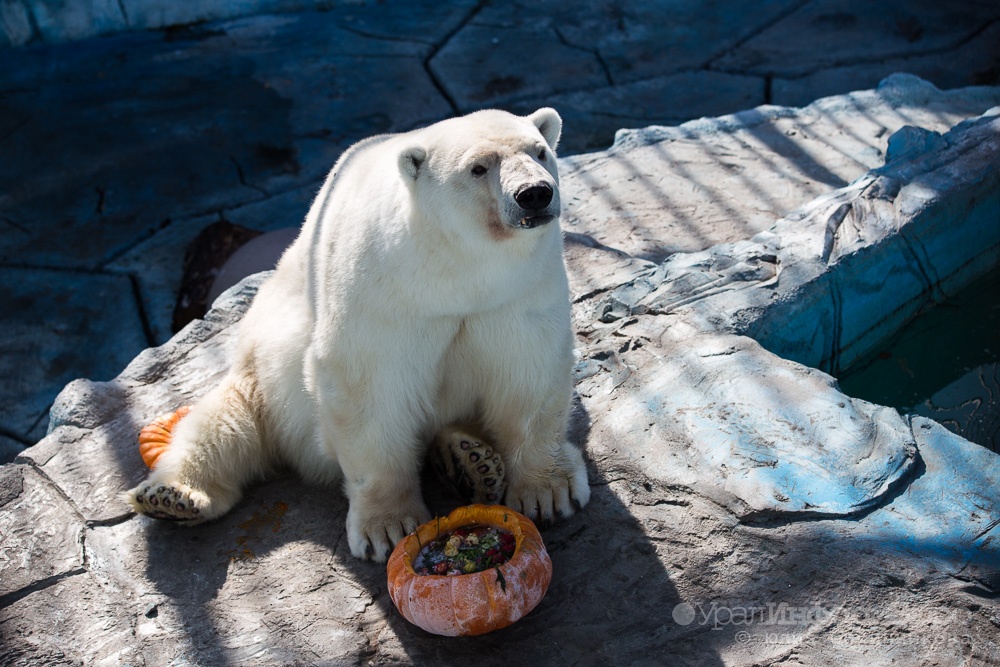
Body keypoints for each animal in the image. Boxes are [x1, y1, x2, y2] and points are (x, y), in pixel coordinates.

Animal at [128, 109, 588, 564]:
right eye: (478, 167)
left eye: (540, 151)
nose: (534, 194)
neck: (453, 267)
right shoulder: (379, 291)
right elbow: (368, 392)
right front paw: (388, 525)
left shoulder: (515, 291)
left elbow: (529, 371)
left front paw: (548, 492)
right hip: (266, 377)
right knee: (224, 422)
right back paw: (171, 496)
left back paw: (469, 460)